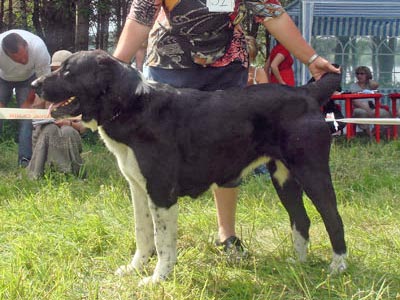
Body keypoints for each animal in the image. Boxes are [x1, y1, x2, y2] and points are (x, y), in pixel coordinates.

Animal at [32, 50, 346, 284]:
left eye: (68, 72)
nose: (35, 85)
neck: (132, 104)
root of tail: (307, 92)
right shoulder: (138, 189)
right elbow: (142, 233)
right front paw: (135, 269)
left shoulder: (161, 192)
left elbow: (163, 241)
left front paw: (156, 279)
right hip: (283, 177)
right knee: (301, 220)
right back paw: (298, 264)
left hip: (312, 171)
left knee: (333, 218)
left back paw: (338, 268)